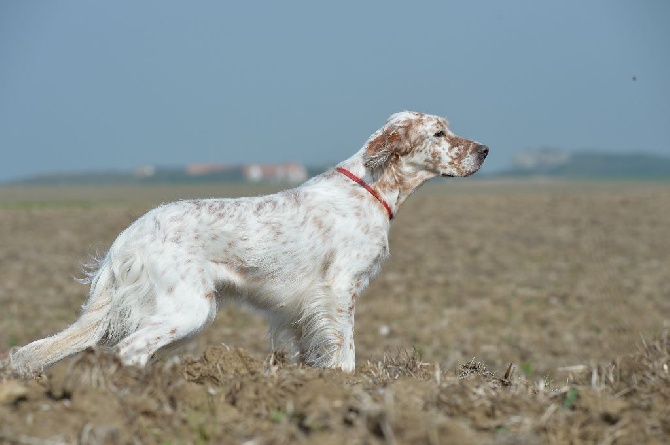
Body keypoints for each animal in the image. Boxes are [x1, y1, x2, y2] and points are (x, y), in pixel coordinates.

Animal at [10, 110, 490, 372]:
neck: (369, 189)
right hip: (190, 308)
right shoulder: (339, 290)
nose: (484, 150)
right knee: (129, 349)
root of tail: (127, 238)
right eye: (439, 134)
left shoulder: (302, 308)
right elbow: (346, 351)